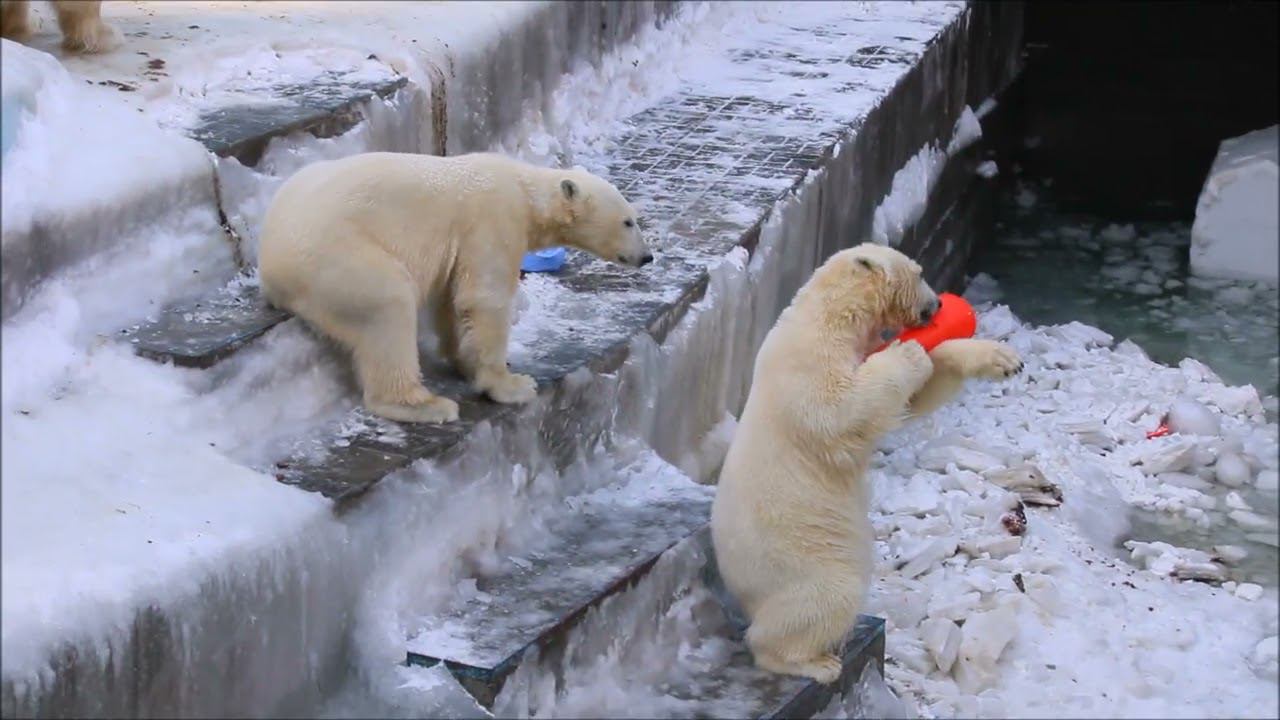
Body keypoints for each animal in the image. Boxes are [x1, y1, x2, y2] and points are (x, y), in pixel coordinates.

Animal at [262, 151, 660, 420]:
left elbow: (452, 299)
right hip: (337, 255)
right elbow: (484, 298)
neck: (525, 191)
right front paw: (512, 385)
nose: (647, 256)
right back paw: (424, 404)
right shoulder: (493, 220)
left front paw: (465, 362)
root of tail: (270, 259)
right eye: (628, 221)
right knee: (389, 306)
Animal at [716, 243, 1024, 681]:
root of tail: (744, 598)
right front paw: (907, 352)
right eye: (919, 272)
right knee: (822, 601)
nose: (936, 305)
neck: (829, 317)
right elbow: (842, 408)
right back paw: (816, 663)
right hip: (800, 567)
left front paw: (1000, 357)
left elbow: (914, 398)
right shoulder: (808, 362)